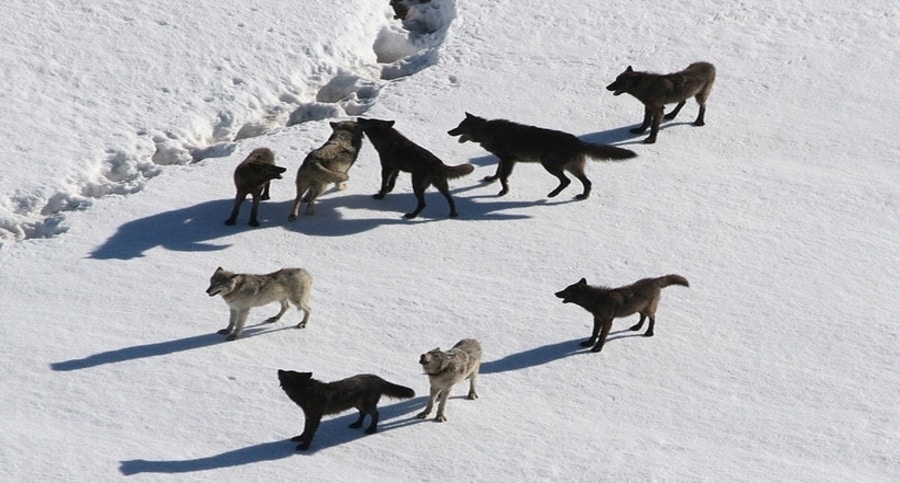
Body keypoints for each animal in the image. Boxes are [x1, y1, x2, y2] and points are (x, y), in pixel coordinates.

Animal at [276, 370, 416, 454]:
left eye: (287, 374)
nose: (279, 370)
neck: (308, 392)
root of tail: (378, 378)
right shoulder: (308, 416)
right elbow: (305, 430)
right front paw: (300, 438)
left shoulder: (315, 417)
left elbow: (310, 433)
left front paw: (304, 447)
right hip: (357, 405)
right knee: (363, 414)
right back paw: (357, 425)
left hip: (365, 405)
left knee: (376, 414)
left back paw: (371, 430)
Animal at [446, 113, 636, 199]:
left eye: (459, 127)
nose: (448, 132)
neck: (487, 131)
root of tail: (577, 141)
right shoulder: (503, 159)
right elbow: (498, 173)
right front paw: (491, 179)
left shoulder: (508, 160)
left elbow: (503, 177)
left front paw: (503, 191)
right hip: (572, 167)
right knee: (587, 182)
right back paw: (582, 196)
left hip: (549, 164)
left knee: (566, 181)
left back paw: (552, 194)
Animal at [556, 274, 688, 354]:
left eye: (565, 290)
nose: (555, 293)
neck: (596, 300)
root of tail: (654, 280)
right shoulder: (597, 318)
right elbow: (594, 333)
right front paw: (588, 343)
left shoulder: (608, 321)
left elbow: (602, 336)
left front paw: (597, 348)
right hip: (639, 308)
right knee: (643, 317)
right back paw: (636, 327)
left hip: (648, 309)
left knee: (653, 318)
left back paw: (649, 333)